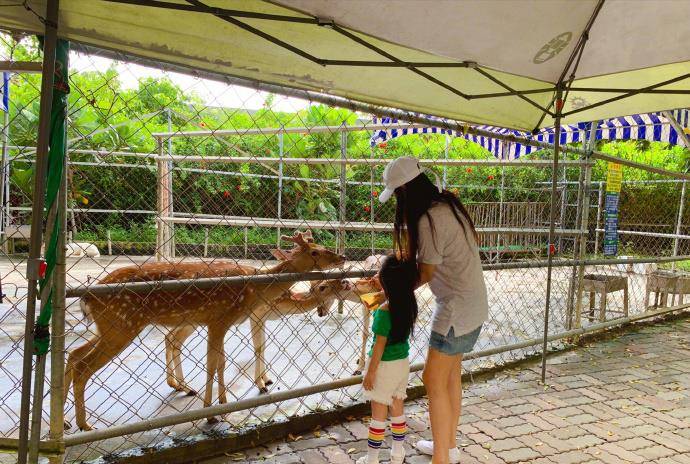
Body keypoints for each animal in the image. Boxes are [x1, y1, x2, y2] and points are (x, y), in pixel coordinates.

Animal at [66, 230, 342, 430]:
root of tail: (88, 296)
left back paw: (67, 423)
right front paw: (211, 413)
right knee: (83, 365)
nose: (342, 257)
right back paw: (85, 425)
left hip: (107, 327)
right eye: (315, 251)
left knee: (73, 354)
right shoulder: (219, 318)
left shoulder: (220, 322)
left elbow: (220, 362)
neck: (254, 289)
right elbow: (213, 363)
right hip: (122, 324)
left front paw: (223, 403)